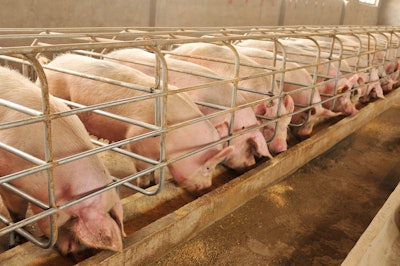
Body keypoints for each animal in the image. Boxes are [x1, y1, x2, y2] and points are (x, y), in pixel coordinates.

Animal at [43, 53, 233, 191]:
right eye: (207, 167)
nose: (207, 187)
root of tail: (52, 63)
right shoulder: (137, 141)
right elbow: (143, 168)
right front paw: (145, 185)